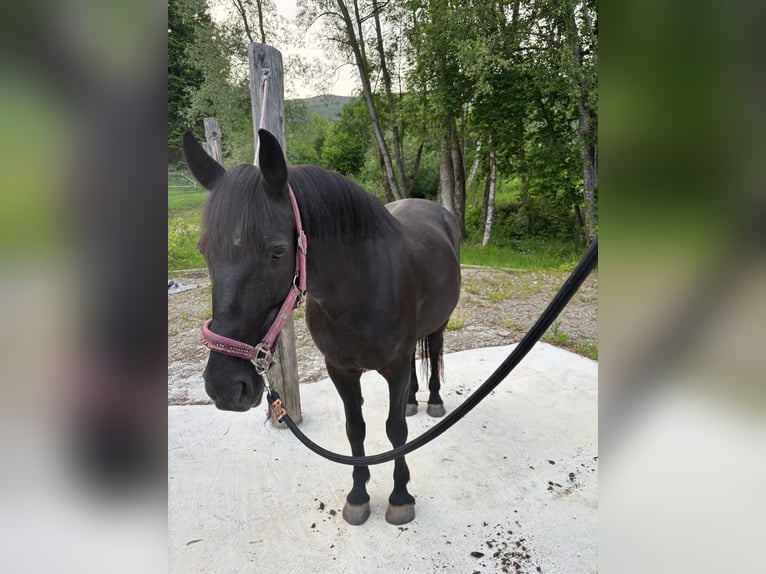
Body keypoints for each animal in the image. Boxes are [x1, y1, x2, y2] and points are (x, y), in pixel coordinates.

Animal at [182, 129, 461, 525]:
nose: (225, 386)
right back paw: (411, 400)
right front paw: (359, 496)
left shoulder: (392, 369)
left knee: (434, 353)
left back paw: (433, 400)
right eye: (204, 250)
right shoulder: (340, 370)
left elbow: (395, 431)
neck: (360, 291)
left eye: (278, 252)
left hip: (438, 324)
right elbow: (355, 430)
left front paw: (400, 497)